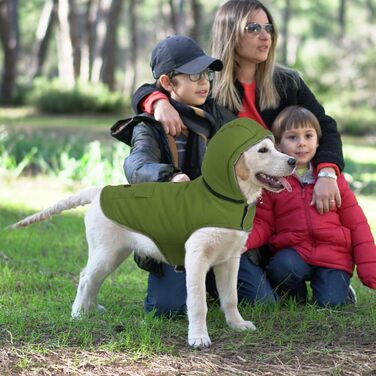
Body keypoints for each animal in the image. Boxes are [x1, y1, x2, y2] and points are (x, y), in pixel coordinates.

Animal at [8, 119, 296, 348]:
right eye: (263, 150)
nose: (293, 161)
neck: (226, 198)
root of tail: (100, 191)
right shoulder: (196, 259)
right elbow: (198, 303)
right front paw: (198, 337)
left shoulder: (229, 259)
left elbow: (230, 297)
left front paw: (237, 324)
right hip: (105, 251)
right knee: (85, 278)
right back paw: (79, 314)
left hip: (116, 253)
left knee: (93, 279)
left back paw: (91, 309)